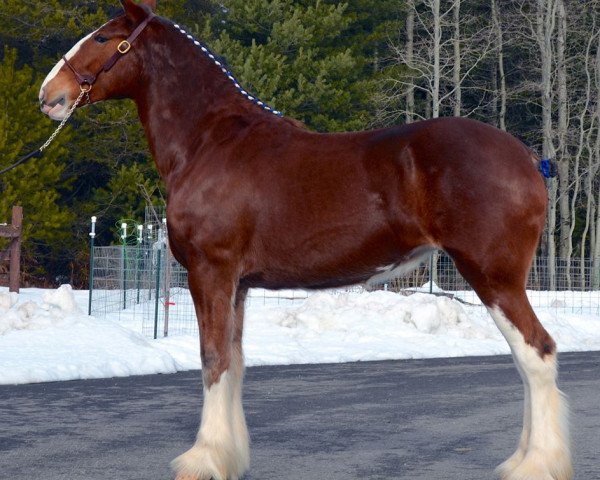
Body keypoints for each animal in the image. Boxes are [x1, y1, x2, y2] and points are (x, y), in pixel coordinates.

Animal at [39, 0, 568, 480]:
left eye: (103, 38)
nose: (49, 94)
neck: (209, 143)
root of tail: (527, 157)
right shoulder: (238, 284)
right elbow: (235, 360)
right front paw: (229, 458)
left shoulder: (211, 271)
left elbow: (213, 360)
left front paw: (202, 460)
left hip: (493, 276)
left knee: (536, 352)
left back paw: (535, 465)